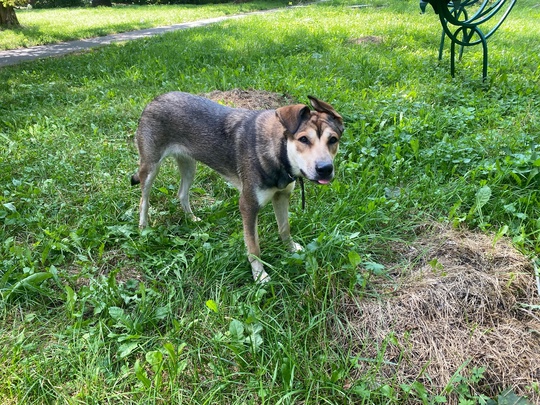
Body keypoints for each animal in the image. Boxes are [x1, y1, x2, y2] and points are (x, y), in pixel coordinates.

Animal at [131, 91, 344, 280]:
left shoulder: (282, 196)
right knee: (143, 200)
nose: (325, 169)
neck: (279, 153)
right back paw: (143, 228)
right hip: (150, 167)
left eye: (333, 140)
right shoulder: (248, 206)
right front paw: (260, 275)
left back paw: (192, 219)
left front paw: (290, 249)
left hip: (189, 164)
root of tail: (155, 99)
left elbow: (284, 228)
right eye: (303, 139)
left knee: (182, 194)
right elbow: (254, 247)